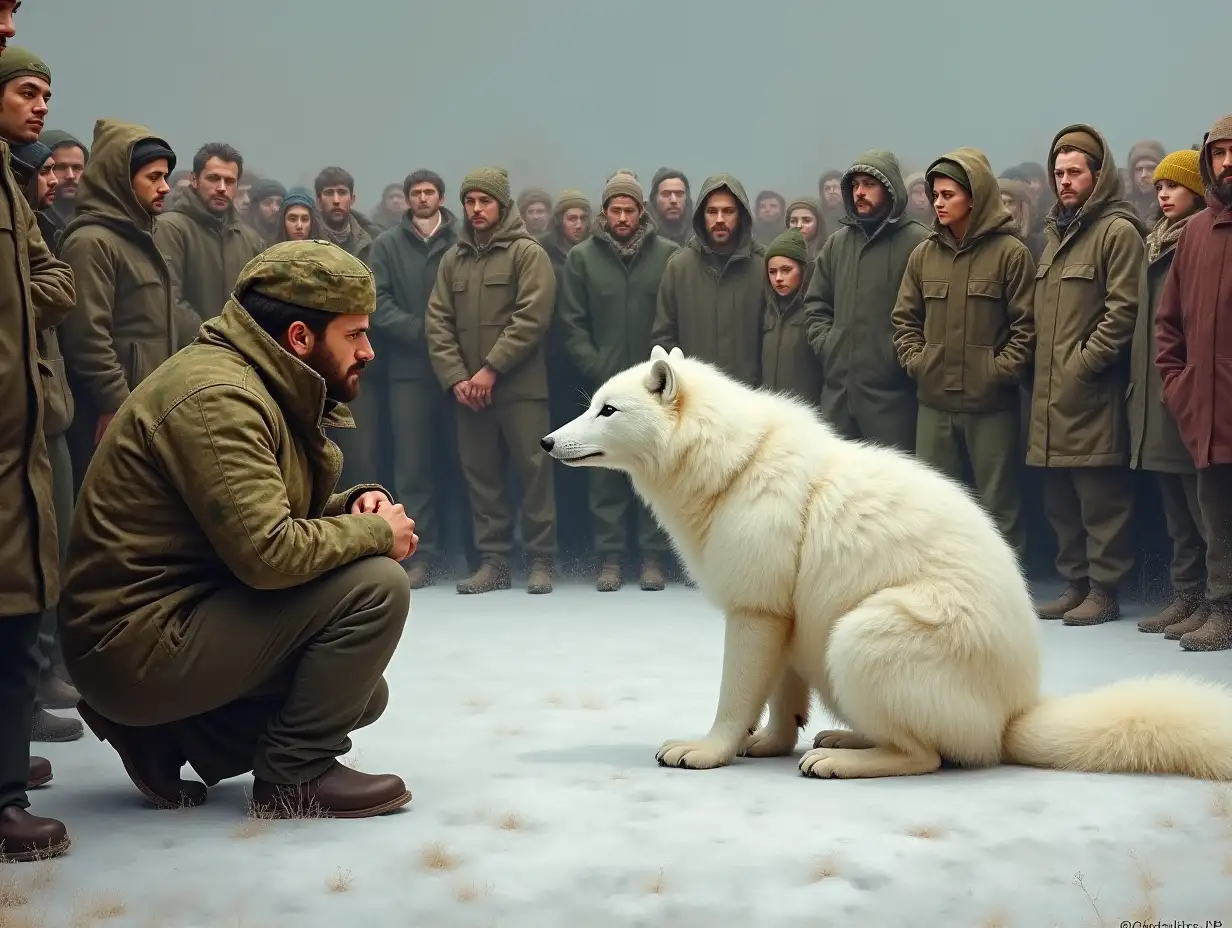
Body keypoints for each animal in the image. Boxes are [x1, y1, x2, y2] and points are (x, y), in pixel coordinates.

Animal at [542, 347, 1232, 783]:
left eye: (608, 410)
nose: (548, 441)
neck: (735, 465)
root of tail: (1012, 715)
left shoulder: (754, 612)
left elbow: (735, 697)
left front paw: (708, 750)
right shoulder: (786, 618)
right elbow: (781, 704)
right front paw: (766, 745)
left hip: (859, 634)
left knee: (927, 756)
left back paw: (842, 760)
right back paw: (841, 740)